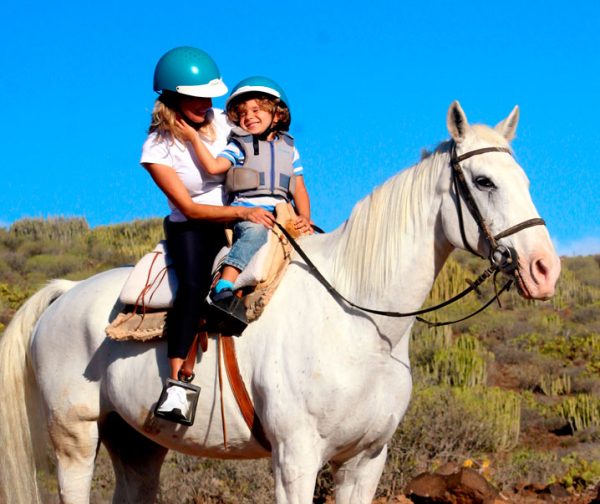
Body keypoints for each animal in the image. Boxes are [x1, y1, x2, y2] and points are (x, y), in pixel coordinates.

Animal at [0, 102, 556, 504]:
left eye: (528, 182)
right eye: (483, 181)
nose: (544, 269)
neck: (360, 322)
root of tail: (65, 292)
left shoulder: (365, 461)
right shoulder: (296, 458)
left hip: (138, 444)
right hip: (75, 438)